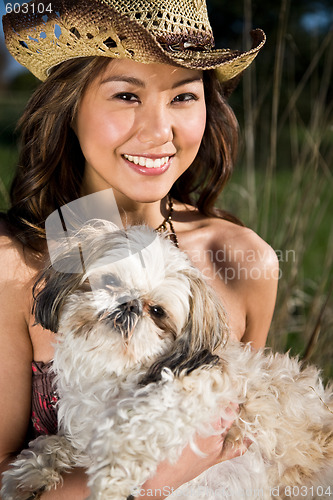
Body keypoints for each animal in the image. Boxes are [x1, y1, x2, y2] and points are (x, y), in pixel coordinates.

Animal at [1, 222, 330, 500]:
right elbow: (58, 445)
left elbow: (140, 420)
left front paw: (111, 478)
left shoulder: (207, 387)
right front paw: (31, 473)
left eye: (157, 311)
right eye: (109, 280)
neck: (115, 370)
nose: (128, 303)